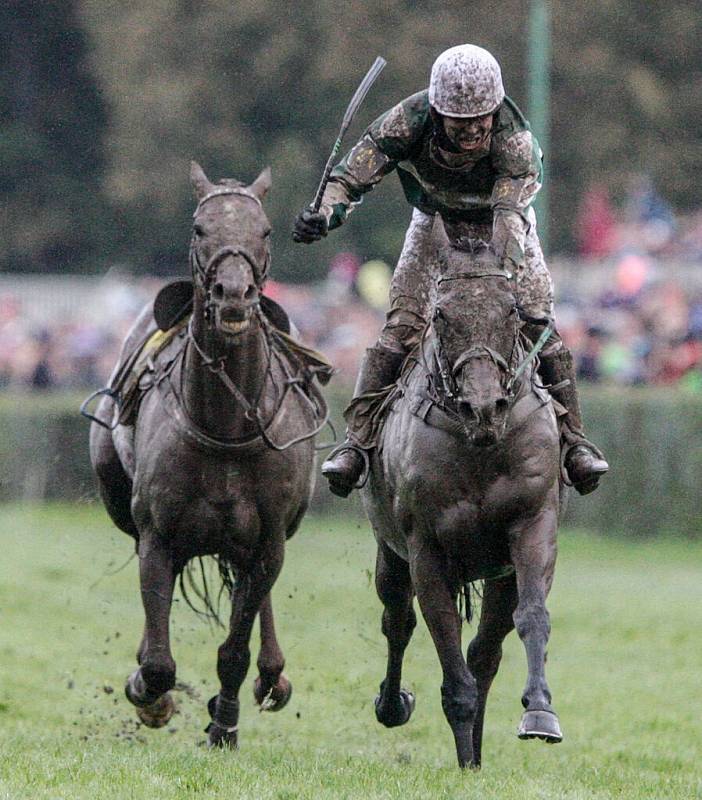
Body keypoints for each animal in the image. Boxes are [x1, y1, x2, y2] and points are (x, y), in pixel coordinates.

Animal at [89, 164, 328, 752]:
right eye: (200, 228)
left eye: (264, 231)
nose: (234, 295)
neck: (225, 423)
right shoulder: (158, 533)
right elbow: (157, 662)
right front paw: (149, 694)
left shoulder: (266, 538)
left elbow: (235, 648)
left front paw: (224, 722)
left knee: (255, 595)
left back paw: (272, 675)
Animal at [366, 239, 564, 768]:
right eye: (440, 314)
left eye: (513, 310)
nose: (483, 407)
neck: (480, 446)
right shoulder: (425, 548)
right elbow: (440, 633)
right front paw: (460, 748)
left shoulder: (532, 526)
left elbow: (531, 616)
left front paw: (540, 713)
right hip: (389, 553)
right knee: (397, 620)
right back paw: (395, 706)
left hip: (498, 574)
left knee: (485, 653)